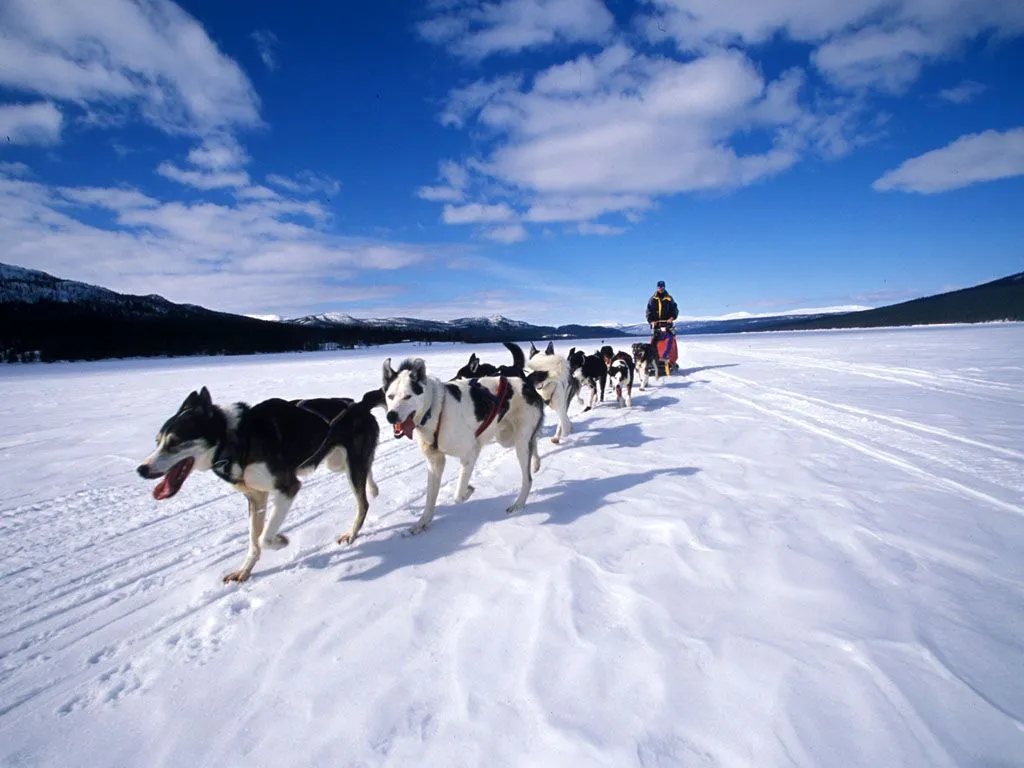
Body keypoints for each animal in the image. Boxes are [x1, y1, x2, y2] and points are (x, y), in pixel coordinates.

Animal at [140, 385, 385, 581]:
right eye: (157, 442)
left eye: (174, 442)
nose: (141, 469)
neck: (236, 439)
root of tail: (359, 406)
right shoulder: (256, 497)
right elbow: (253, 542)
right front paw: (244, 571)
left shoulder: (288, 488)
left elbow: (263, 537)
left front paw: (280, 540)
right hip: (338, 462)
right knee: (367, 470)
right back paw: (373, 487)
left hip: (350, 467)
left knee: (362, 503)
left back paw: (352, 532)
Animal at [382, 356, 544, 532]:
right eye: (390, 396)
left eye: (407, 396)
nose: (391, 416)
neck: (435, 410)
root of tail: (526, 383)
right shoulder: (435, 462)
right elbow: (430, 499)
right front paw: (422, 522)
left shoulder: (470, 453)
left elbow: (458, 495)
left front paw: (468, 491)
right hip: (507, 439)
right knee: (533, 442)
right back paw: (536, 463)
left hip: (519, 444)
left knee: (527, 479)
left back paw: (518, 504)